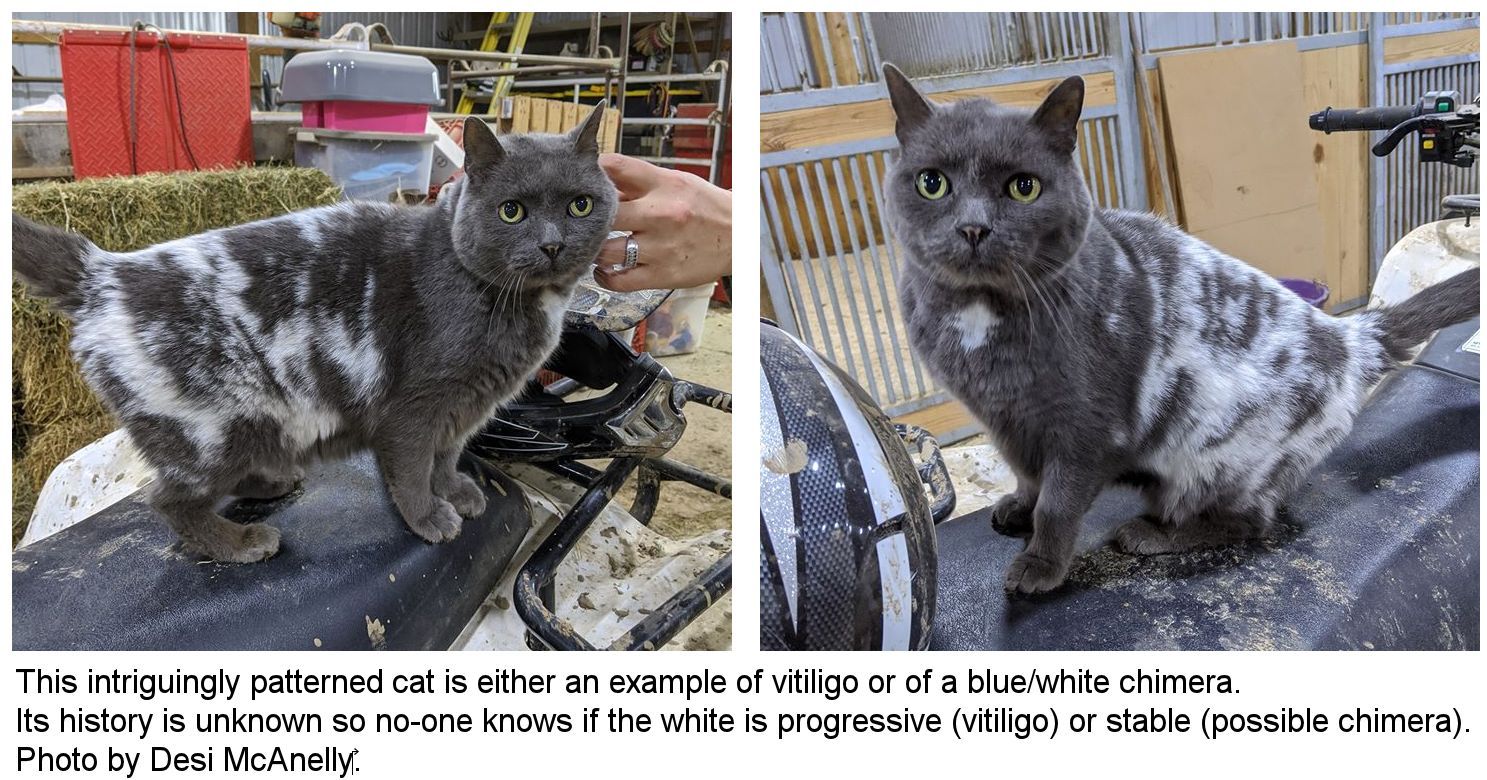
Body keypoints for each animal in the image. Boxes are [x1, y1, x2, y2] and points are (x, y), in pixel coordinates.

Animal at [13, 106, 615, 561]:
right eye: (512, 212)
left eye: (580, 204)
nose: (553, 244)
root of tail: (103, 272)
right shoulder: (416, 407)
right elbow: (413, 467)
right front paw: (428, 516)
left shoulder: (464, 408)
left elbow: (447, 457)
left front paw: (456, 491)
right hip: (210, 430)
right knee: (167, 499)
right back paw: (241, 543)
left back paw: (270, 484)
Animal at [880, 63, 1475, 594]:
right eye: (932, 183)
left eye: (1023, 187)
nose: (973, 227)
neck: (978, 320)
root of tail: (1349, 337)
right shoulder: (1007, 423)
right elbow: (1028, 478)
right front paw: (1016, 510)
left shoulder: (1085, 431)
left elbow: (1058, 501)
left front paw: (1040, 565)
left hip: (1219, 459)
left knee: (1250, 522)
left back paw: (1148, 534)